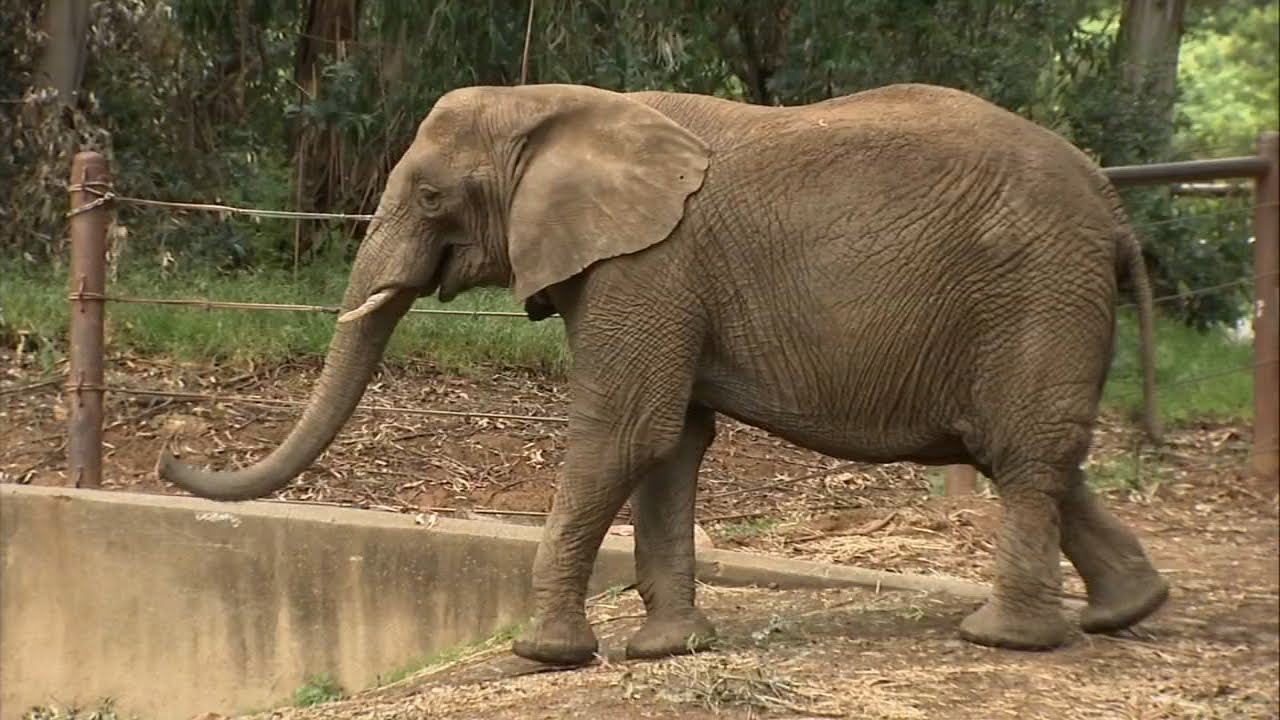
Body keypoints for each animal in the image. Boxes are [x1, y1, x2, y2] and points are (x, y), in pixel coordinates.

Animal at [158, 81, 1170, 667]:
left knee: (1023, 458)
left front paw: (544, 656)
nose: (170, 453)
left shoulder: (648, 263)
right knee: (1031, 457)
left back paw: (1005, 641)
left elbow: (625, 430)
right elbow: (673, 440)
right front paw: (664, 653)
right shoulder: (651, 270)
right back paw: (1127, 612)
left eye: (432, 194)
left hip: (1038, 291)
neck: (550, 104)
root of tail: (1115, 209)